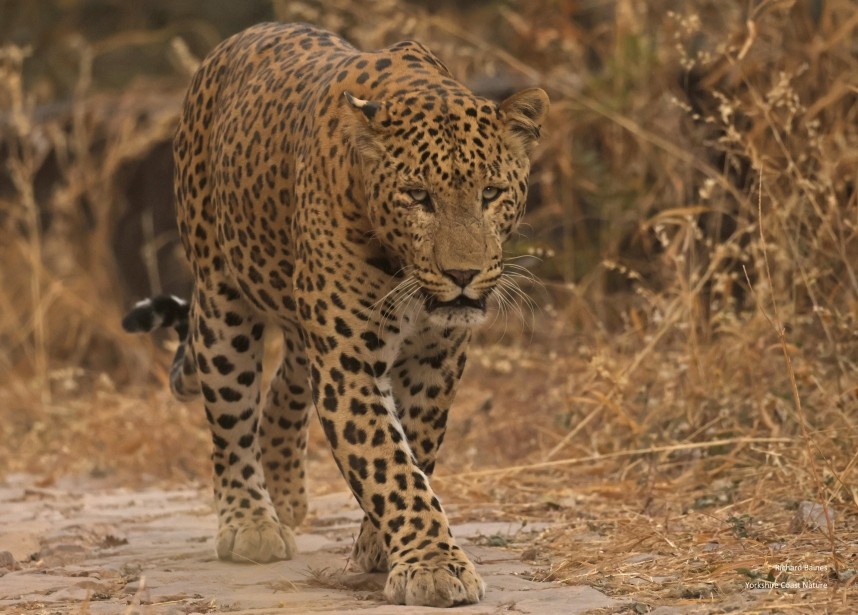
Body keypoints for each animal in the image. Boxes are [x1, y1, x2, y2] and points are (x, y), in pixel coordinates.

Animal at [122, 22, 547, 607]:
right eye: (417, 196)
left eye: (491, 193)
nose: (462, 274)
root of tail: (240, 38)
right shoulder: (348, 362)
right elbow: (390, 463)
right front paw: (434, 564)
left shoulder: (435, 360)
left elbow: (416, 448)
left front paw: (380, 547)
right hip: (222, 300)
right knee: (232, 417)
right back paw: (251, 522)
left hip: (302, 323)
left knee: (285, 388)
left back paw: (287, 496)